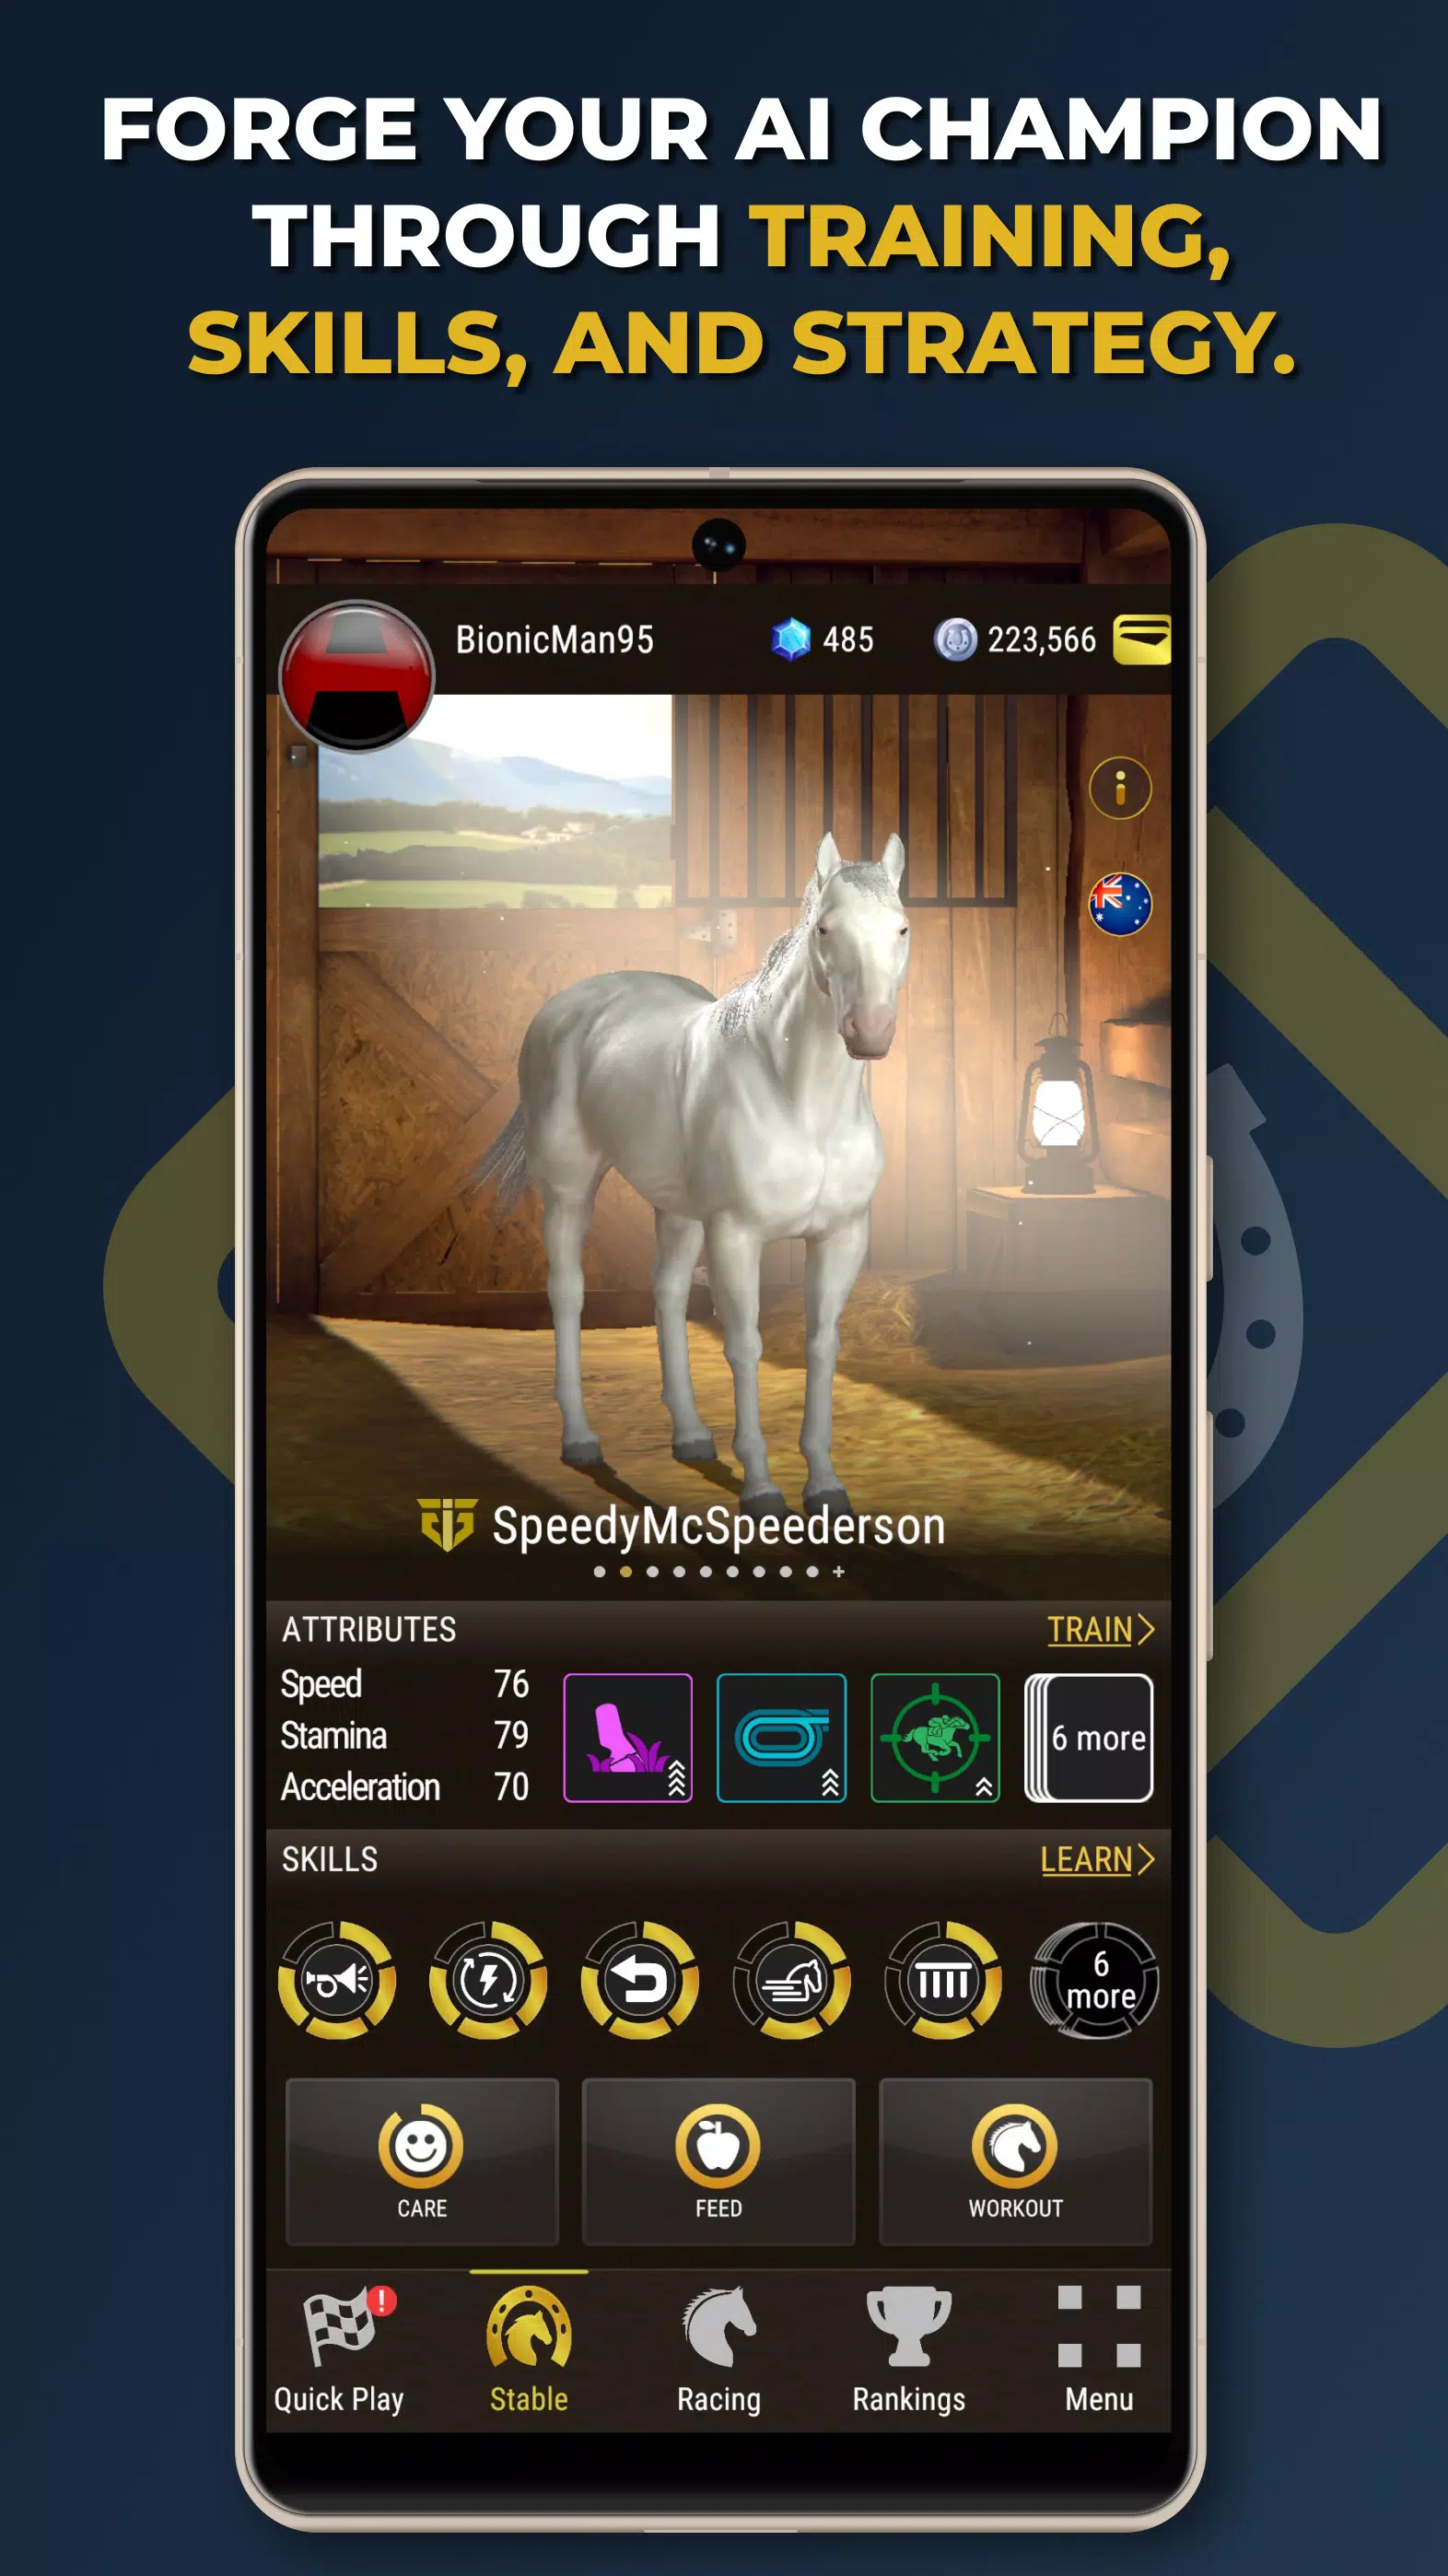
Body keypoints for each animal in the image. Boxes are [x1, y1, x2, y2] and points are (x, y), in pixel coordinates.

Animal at [470, 831, 910, 1515]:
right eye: (826, 929)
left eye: (901, 928)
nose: (870, 1032)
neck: (800, 1102)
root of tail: (565, 1006)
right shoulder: (736, 1235)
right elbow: (745, 1344)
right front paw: (761, 1486)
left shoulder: (841, 1236)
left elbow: (821, 1345)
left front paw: (824, 1483)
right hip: (569, 1194)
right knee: (567, 1293)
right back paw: (580, 1440)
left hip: (676, 1211)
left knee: (668, 1293)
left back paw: (691, 1435)